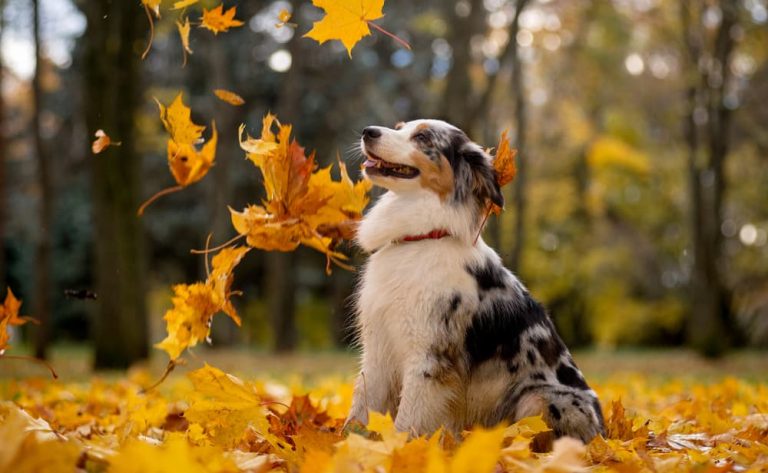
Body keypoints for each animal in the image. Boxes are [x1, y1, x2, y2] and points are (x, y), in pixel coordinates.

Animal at [348, 118, 608, 442]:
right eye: (399, 127)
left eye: (423, 138)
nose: (367, 131)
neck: (422, 237)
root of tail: (603, 432)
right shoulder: (377, 348)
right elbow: (360, 408)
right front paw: (345, 443)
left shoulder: (429, 357)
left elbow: (408, 422)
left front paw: (397, 448)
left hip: (539, 398)